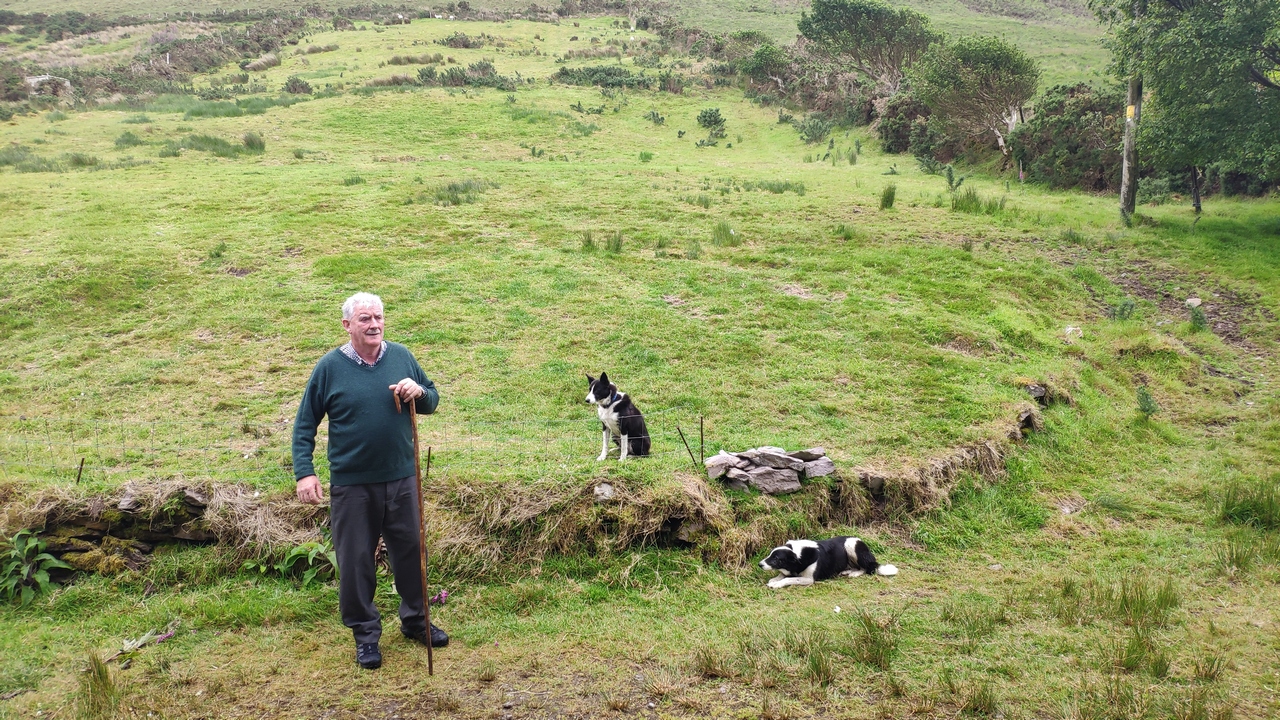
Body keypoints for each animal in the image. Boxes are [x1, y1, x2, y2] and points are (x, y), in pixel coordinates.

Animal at [757, 535, 901, 586]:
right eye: (770, 555)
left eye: (776, 558)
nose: (759, 564)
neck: (799, 556)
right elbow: (783, 575)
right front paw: (775, 579)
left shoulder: (809, 579)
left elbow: (788, 579)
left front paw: (776, 584)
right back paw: (847, 571)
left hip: (851, 544)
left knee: (867, 568)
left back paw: (854, 573)